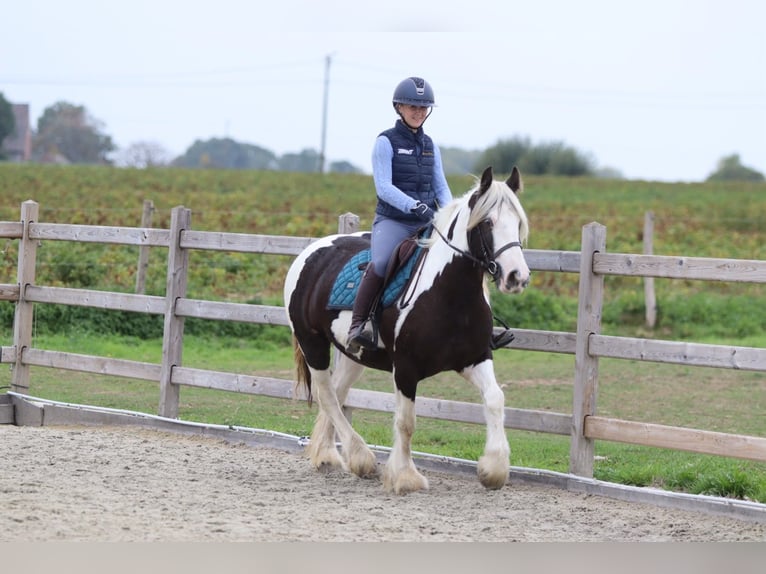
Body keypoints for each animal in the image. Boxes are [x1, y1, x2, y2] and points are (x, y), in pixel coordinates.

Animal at [283, 166, 530, 494]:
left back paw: (327, 456)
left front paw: (494, 469)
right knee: (327, 395)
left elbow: (494, 398)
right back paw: (361, 459)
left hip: (352, 353)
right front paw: (405, 476)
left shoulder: (475, 358)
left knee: (337, 391)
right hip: (312, 343)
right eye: (488, 222)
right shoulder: (405, 368)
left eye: (517, 223)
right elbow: (406, 421)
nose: (517, 276)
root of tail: (311, 251)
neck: (450, 293)